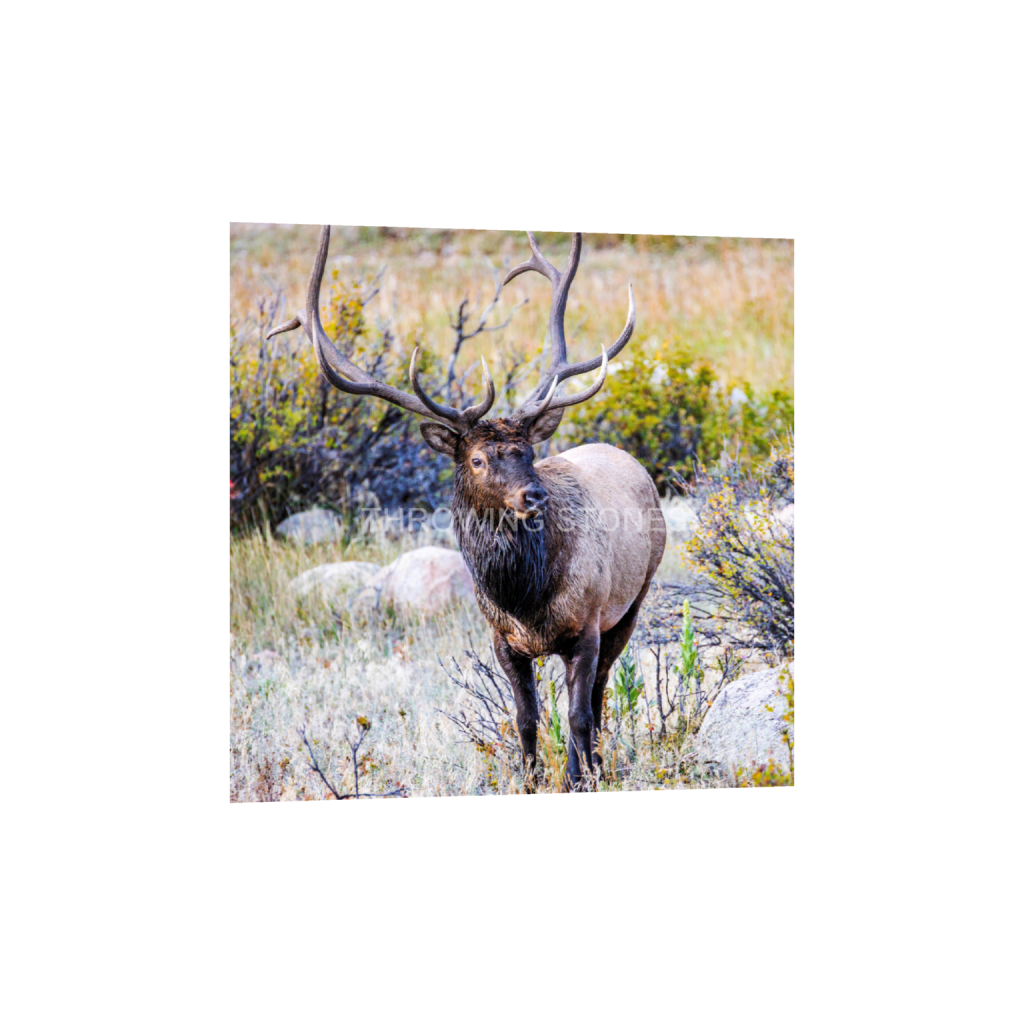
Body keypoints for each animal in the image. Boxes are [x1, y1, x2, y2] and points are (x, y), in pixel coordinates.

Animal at [267, 227, 666, 791]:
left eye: (528, 452)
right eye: (477, 459)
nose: (533, 495)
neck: (526, 598)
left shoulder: (587, 624)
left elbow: (578, 714)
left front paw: (579, 777)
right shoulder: (502, 639)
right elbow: (525, 718)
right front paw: (531, 780)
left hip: (633, 600)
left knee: (601, 693)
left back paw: (598, 764)